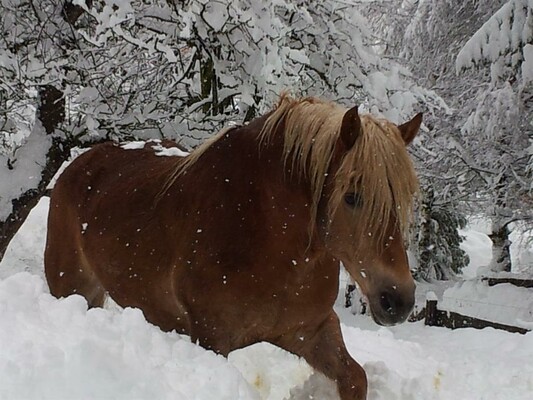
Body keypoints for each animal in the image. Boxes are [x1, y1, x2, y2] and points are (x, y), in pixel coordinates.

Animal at [44, 94, 420, 400]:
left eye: (403, 201)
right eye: (352, 196)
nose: (397, 300)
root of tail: (80, 164)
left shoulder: (310, 330)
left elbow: (355, 377)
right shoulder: (212, 337)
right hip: (71, 288)